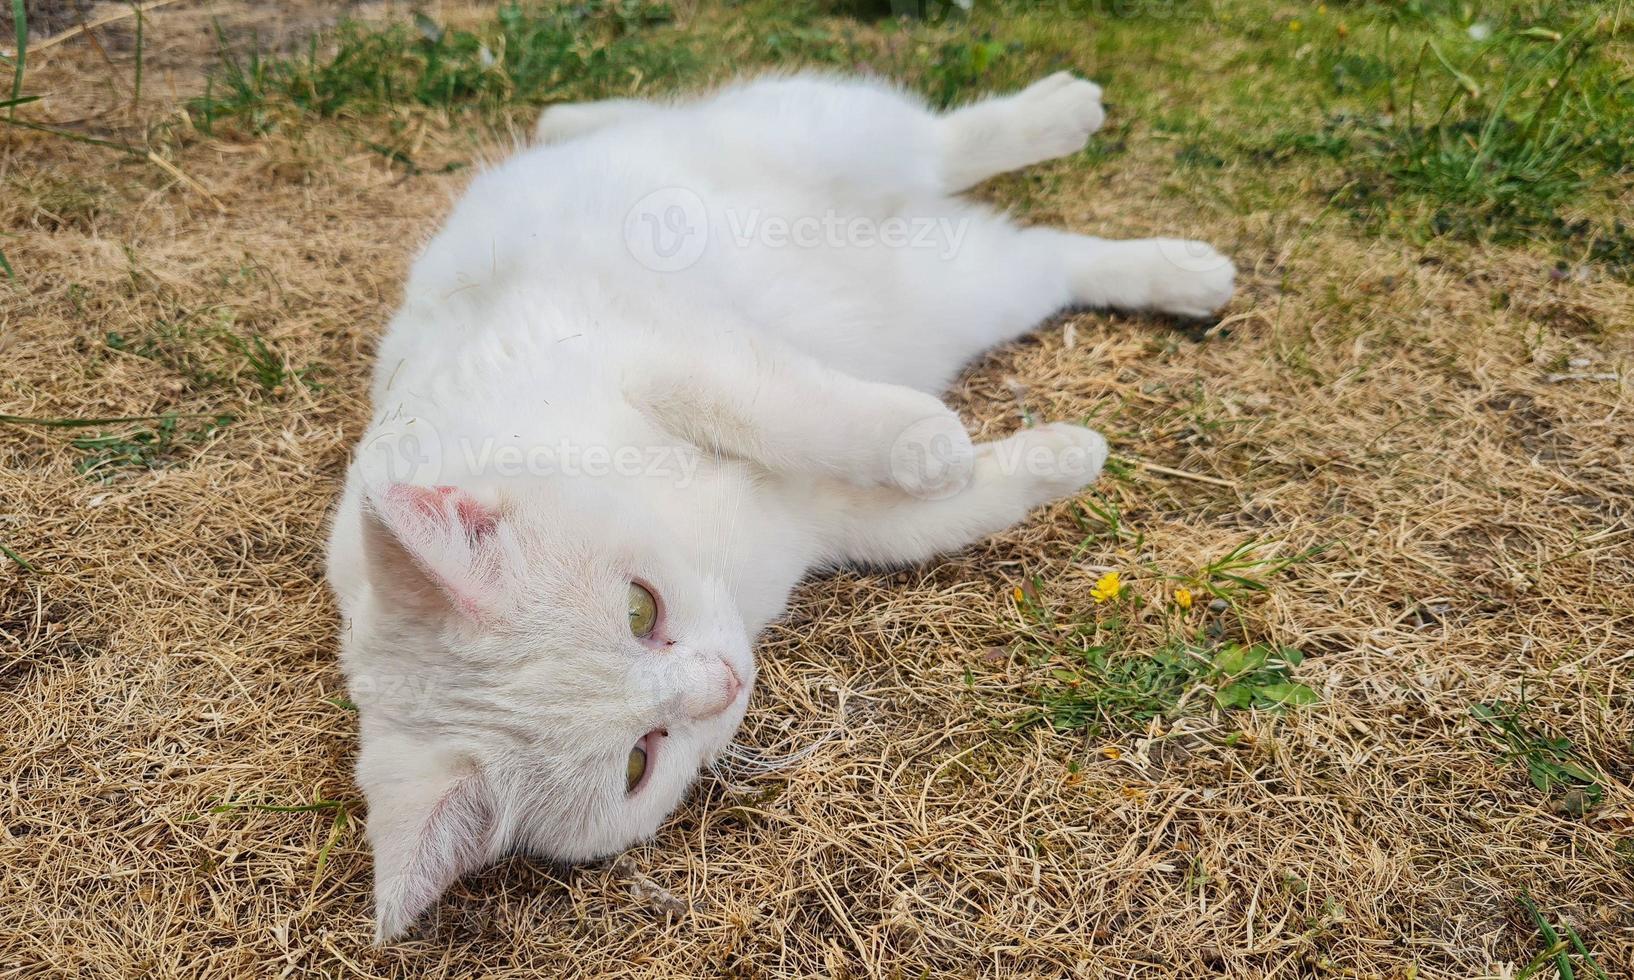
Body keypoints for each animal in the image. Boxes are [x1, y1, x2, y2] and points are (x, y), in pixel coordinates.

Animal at [325, 70, 1228, 940]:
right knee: (1042, 254)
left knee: (938, 142)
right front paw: (1061, 455)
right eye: (639, 762)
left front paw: (925, 440)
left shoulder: (661, 347)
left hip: (817, 137)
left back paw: (1065, 120)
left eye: (638, 607)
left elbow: (777, 407)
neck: (718, 556)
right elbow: (954, 505)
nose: (724, 684)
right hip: (955, 288)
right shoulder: (844, 523)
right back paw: (1178, 277)